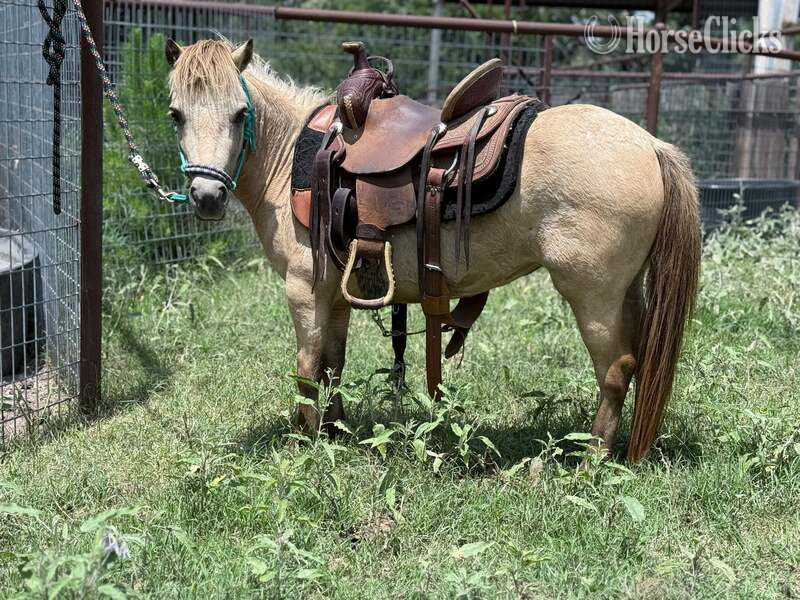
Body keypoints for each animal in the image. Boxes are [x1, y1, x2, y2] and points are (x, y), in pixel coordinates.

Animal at [163, 38, 701, 461]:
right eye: (176, 114)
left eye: (240, 114)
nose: (207, 197)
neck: (294, 152)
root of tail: (651, 145)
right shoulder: (334, 295)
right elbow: (334, 364)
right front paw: (335, 433)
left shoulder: (304, 292)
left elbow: (307, 370)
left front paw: (307, 445)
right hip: (628, 291)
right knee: (640, 360)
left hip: (593, 295)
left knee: (616, 369)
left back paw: (592, 460)